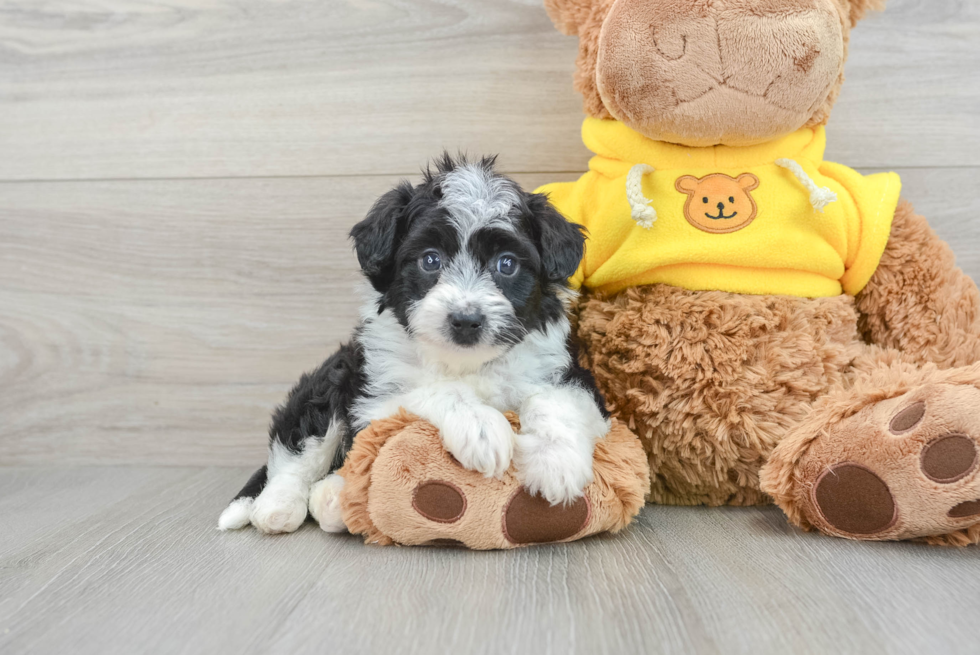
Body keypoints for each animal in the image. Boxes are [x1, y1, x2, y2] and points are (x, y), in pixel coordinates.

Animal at [218, 156, 608, 536]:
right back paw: (278, 507)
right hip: (332, 379)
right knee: (298, 449)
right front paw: (481, 427)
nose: (466, 320)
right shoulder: (374, 401)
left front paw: (555, 463)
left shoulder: (572, 375)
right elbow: (437, 391)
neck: (465, 362)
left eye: (507, 264)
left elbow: (554, 400)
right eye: (430, 260)